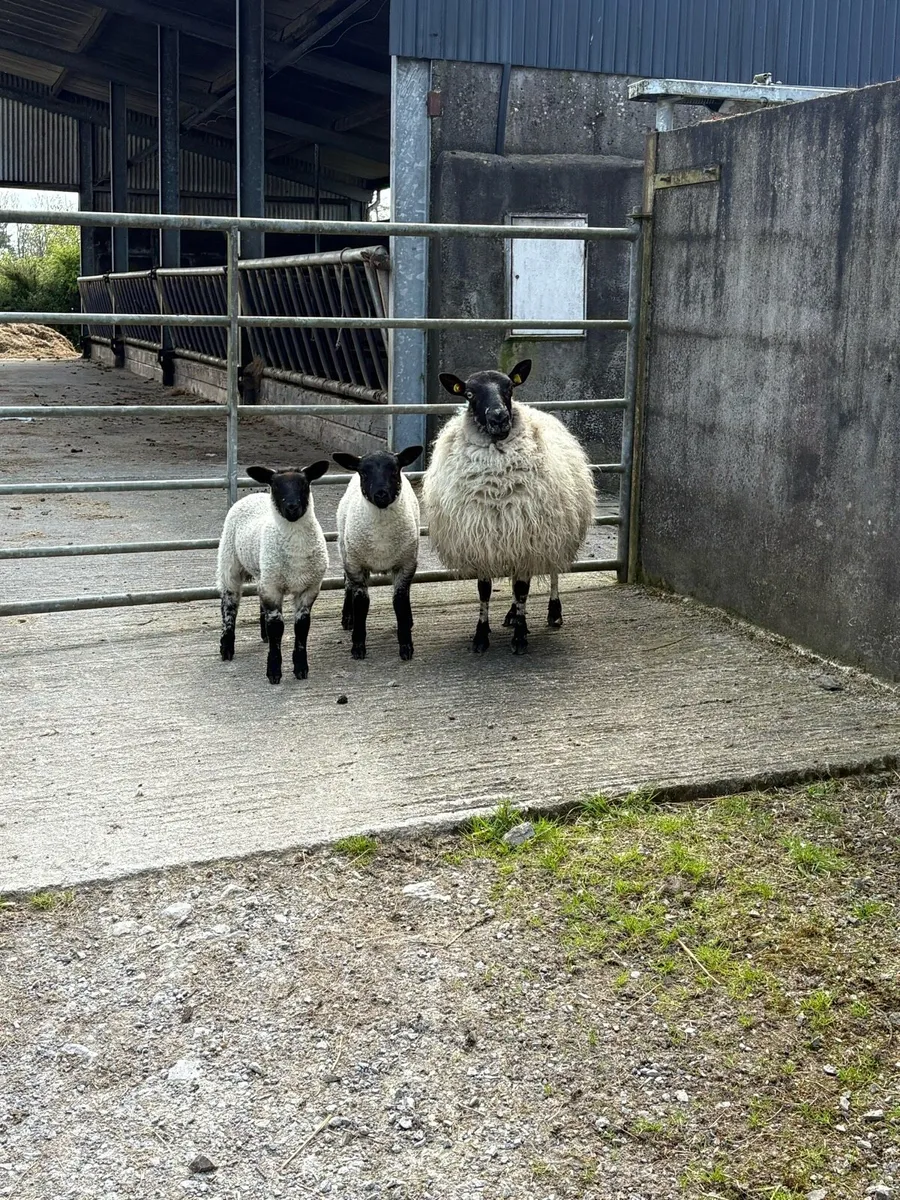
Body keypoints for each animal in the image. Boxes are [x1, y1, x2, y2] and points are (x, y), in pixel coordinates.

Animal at [217, 461, 329, 684]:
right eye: (276, 486)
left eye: (305, 484)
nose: (292, 507)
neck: (295, 551)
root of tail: (254, 495)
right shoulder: (272, 588)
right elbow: (277, 627)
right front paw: (274, 671)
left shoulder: (309, 587)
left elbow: (302, 627)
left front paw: (301, 668)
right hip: (229, 560)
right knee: (229, 603)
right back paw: (226, 646)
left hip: (264, 571)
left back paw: (263, 635)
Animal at [332, 445, 423, 661]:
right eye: (364, 472)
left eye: (394, 470)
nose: (381, 494)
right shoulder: (356, 565)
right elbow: (361, 603)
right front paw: (358, 645)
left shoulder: (406, 564)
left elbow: (400, 601)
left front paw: (406, 645)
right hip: (345, 550)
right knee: (347, 584)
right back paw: (348, 618)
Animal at [422, 359, 594, 655]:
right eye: (469, 393)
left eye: (510, 388)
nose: (499, 417)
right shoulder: (484, 541)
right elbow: (485, 591)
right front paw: (481, 636)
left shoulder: (529, 537)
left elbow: (524, 589)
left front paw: (520, 638)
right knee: (515, 581)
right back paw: (512, 614)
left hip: (555, 533)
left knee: (552, 573)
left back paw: (553, 612)